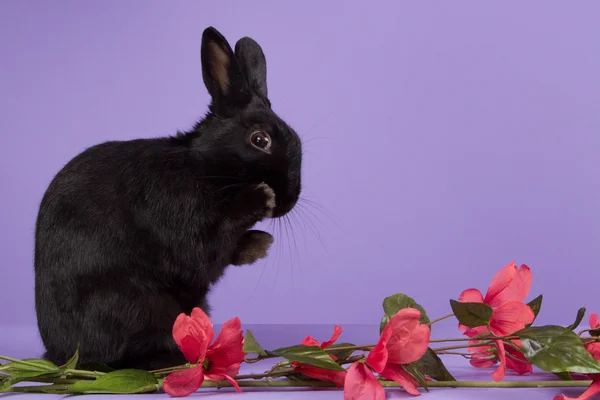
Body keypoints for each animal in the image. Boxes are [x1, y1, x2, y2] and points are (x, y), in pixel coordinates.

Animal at [34, 26, 300, 370]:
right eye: (259, 139)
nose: (288, 200)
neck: (203, 167)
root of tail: (60, 356)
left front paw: (258, 244)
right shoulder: (180, 221)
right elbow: (204, 251)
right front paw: (260, 199)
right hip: (137, 305)